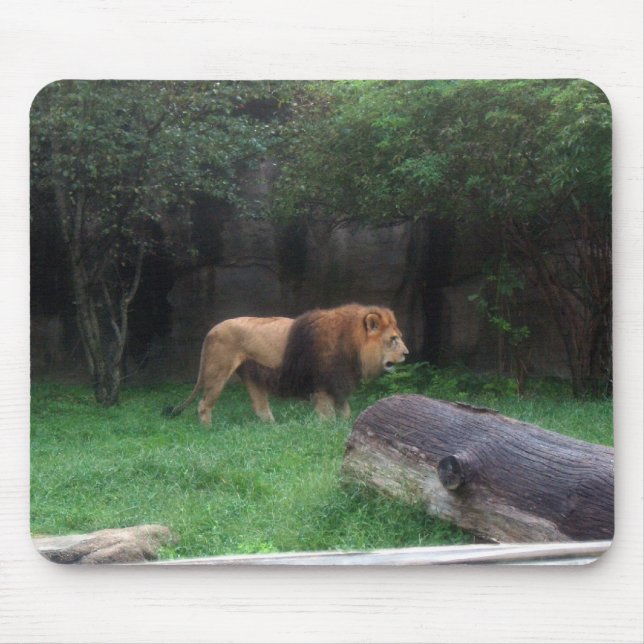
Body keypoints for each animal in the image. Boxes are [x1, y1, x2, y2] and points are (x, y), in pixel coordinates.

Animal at [164, 303, 409, 425]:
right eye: (393, 339)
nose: (407, 353)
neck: (352, 345)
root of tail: (212, 330)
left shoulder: (338, 383)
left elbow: (346, 412)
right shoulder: (322, 385)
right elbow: (327, 415)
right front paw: (327, 429)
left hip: (251, 374)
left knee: (260, 406)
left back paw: (272, 427)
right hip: (218, 371)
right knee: (203, 404)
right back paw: (208, 429)